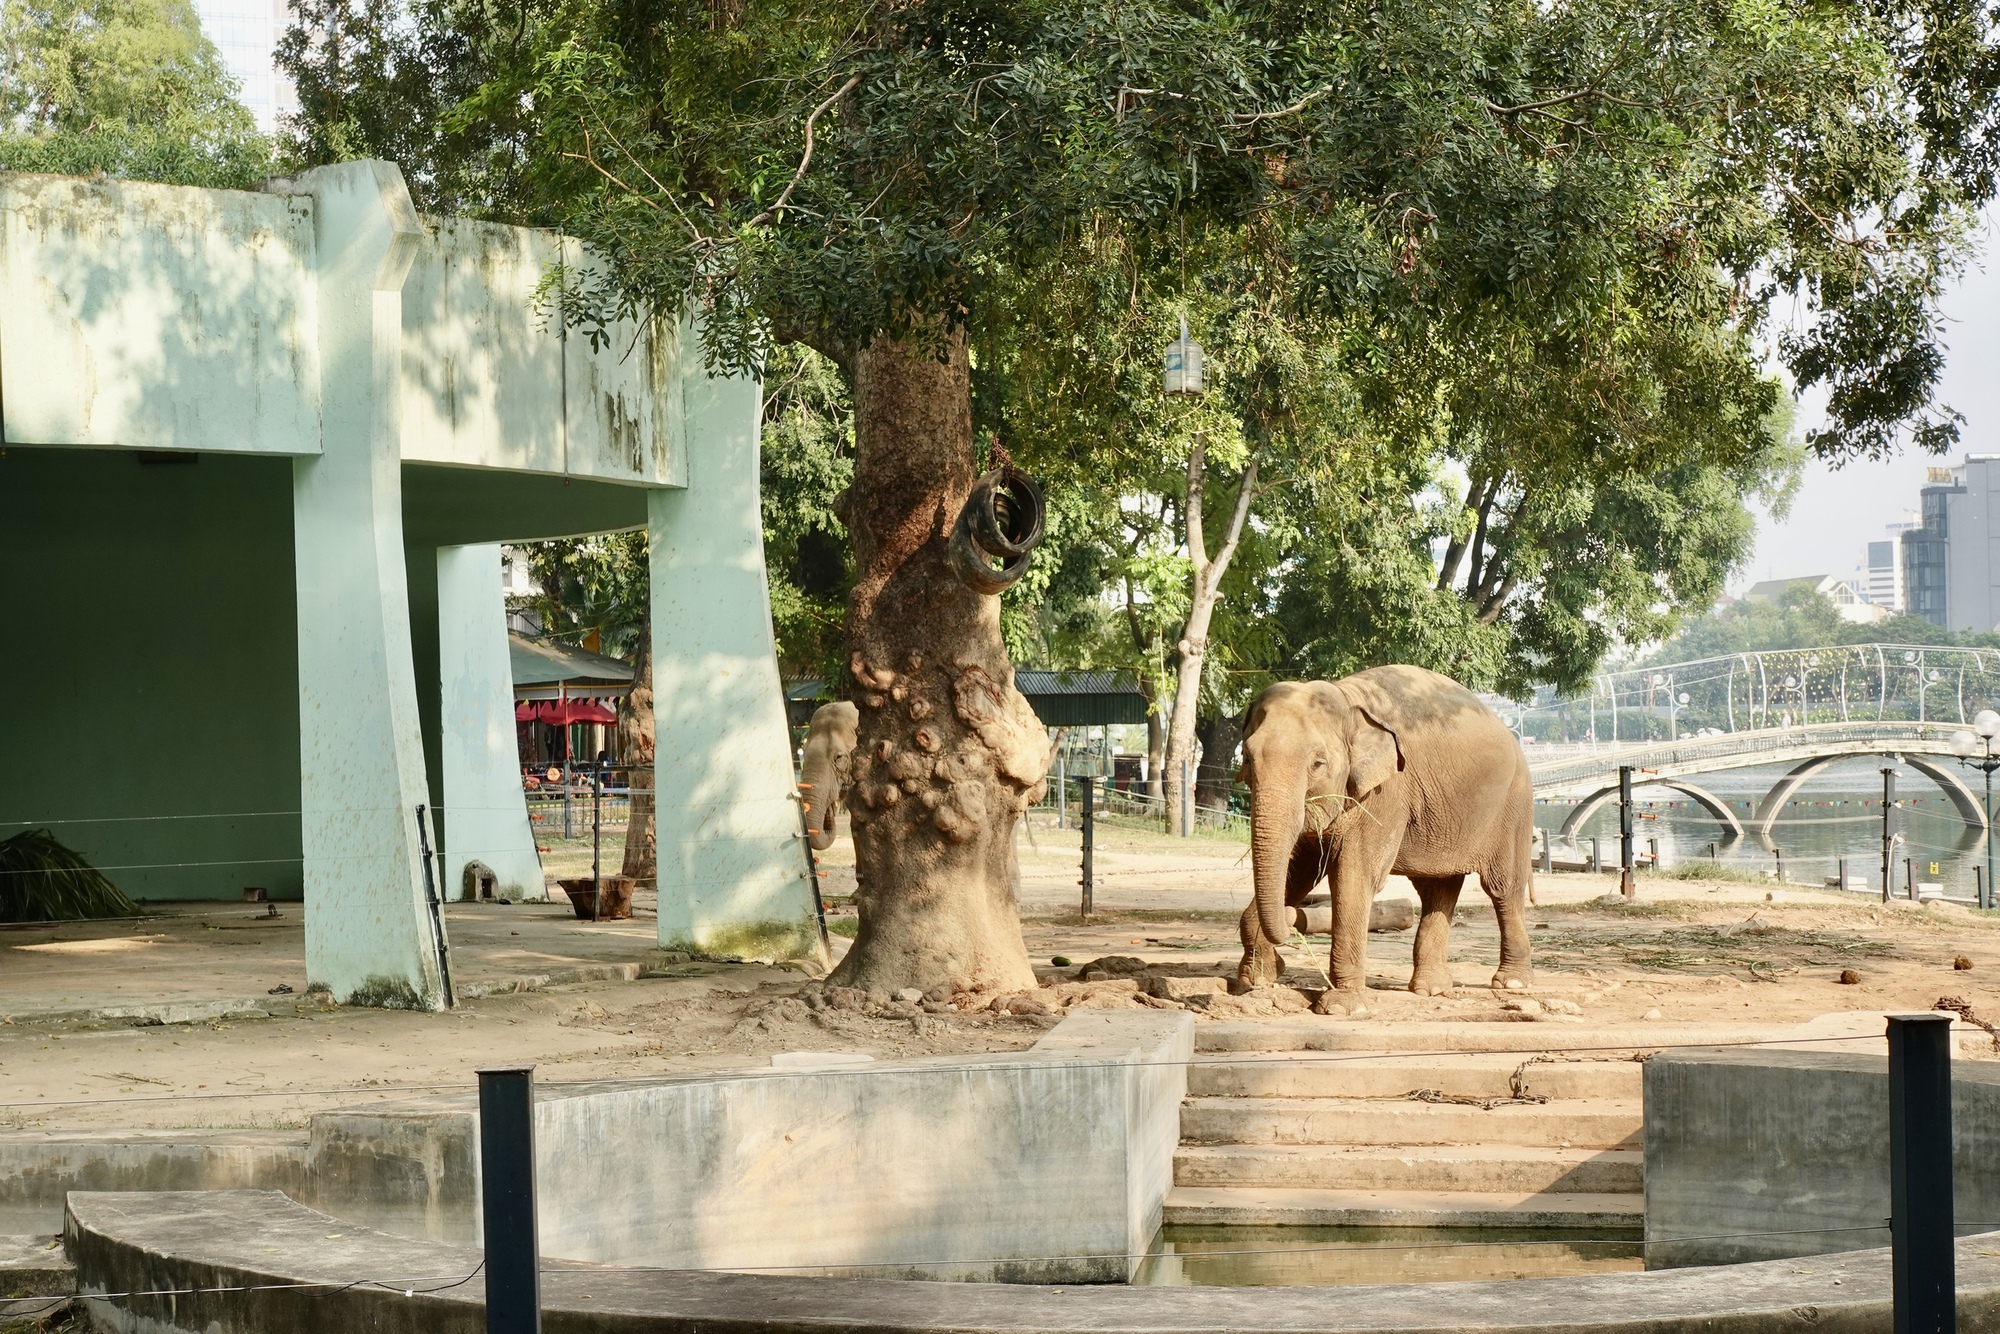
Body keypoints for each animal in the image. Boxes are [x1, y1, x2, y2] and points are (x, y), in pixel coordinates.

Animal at [1232, 668, 1528, 1012]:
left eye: (1318, 763)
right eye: (1247, 758)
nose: (1295, 918)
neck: (1346, 698)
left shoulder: (1386, 791)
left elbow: (1353, 876)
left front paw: (1341, 1006)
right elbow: (1300, 870)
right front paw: (1257, 977)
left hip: (1513, 806)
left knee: (1502, 887)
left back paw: (1512, 982)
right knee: (1437, 888)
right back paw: (1430, 989)